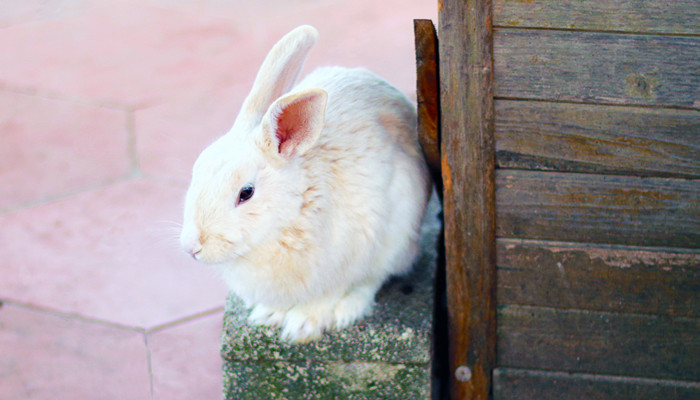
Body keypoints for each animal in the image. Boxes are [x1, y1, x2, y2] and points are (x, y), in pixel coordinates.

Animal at [180, 25, 432, 344]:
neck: (291, 213)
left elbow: (333, 293)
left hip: (400, 234)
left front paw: (302, 327)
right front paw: (268, 315)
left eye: (246, 193)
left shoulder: (352, 255)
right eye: (196, 169)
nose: (192, 247)